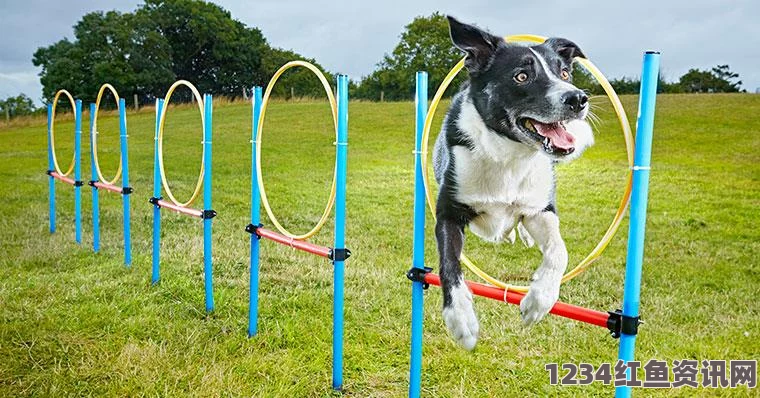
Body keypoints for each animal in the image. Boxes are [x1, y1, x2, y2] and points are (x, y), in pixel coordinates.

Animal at [434, 17, 592, 350]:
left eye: (565, 73)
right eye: (522, 76)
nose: (578, 98)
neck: (509, 155)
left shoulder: (540, 209)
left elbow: (559, 251)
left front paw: (538, 301)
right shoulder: (449, 213)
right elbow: (449, 264)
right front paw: (461, 320)